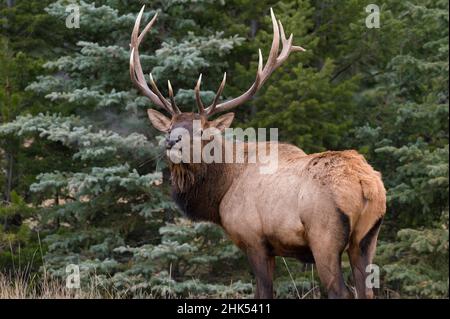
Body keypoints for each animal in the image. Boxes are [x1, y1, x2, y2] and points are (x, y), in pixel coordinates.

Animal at [128, 5, 384, 300]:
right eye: (169, 128)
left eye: (202, 131)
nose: (171, 142)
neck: (221, 191)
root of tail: (366, 184)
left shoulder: (255, 240)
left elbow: (263, 292)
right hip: (367, 238)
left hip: (324, 236)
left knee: (341, 291)